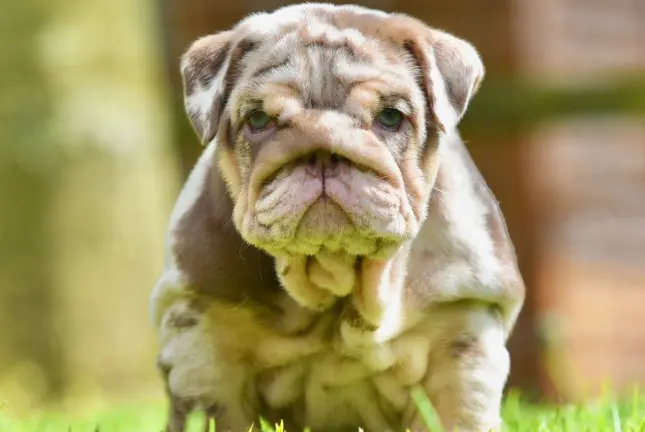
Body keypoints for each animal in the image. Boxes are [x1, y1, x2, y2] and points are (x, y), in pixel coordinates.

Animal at [150, 4, 524, 432]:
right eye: (258, 120)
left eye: (391, 117)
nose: (323, 149)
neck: (335, 274)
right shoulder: (203, 341)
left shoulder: (462, 331)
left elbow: (457, 414)